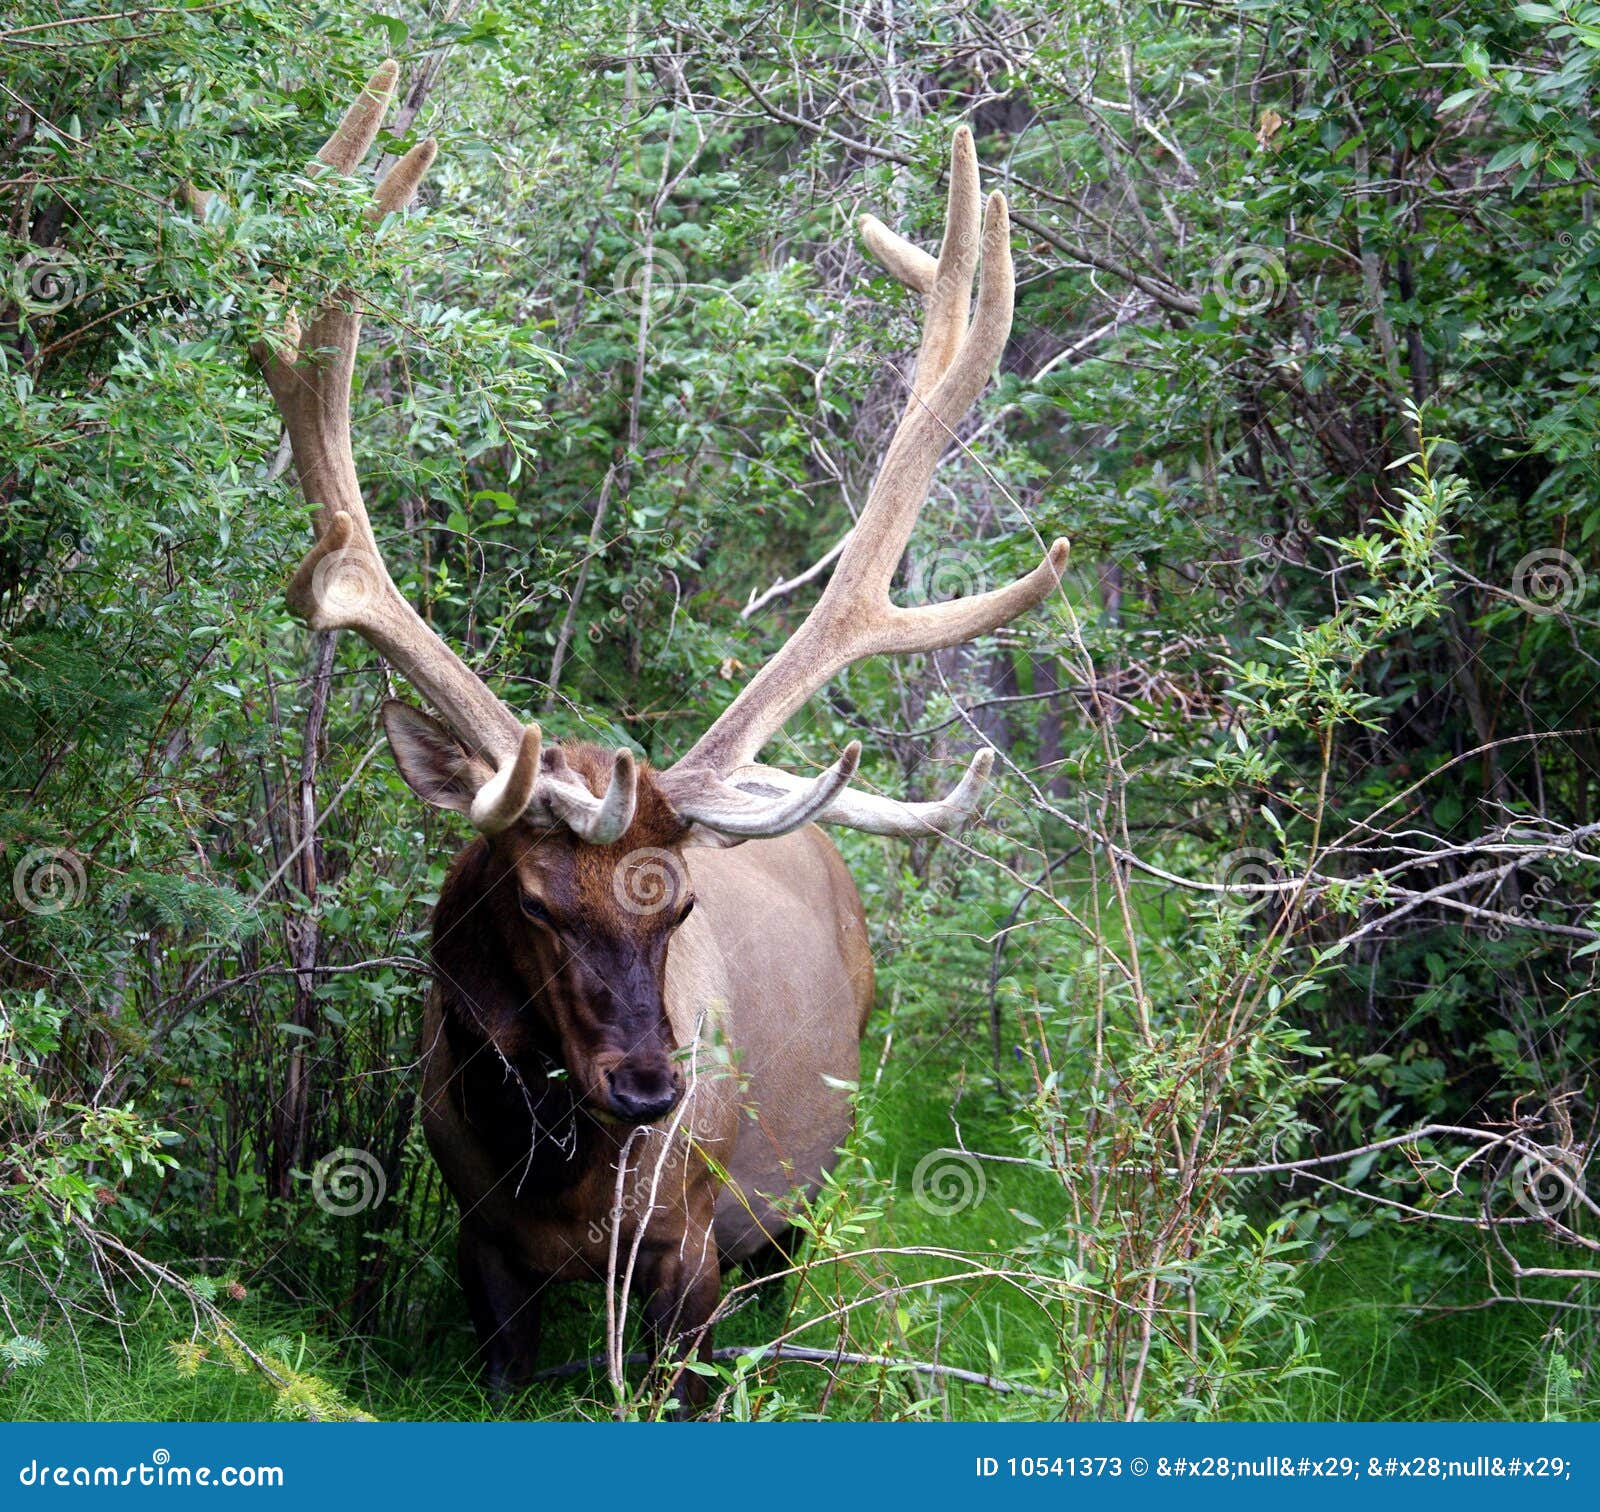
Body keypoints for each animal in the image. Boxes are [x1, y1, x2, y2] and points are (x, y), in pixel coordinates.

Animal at [209, 59, 1062, 1401]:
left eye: (681, 904)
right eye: (536, 898)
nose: (656, 1085)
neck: (565, 1186)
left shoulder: (687, 1244)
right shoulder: (476, 1244)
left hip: (799, 1190)